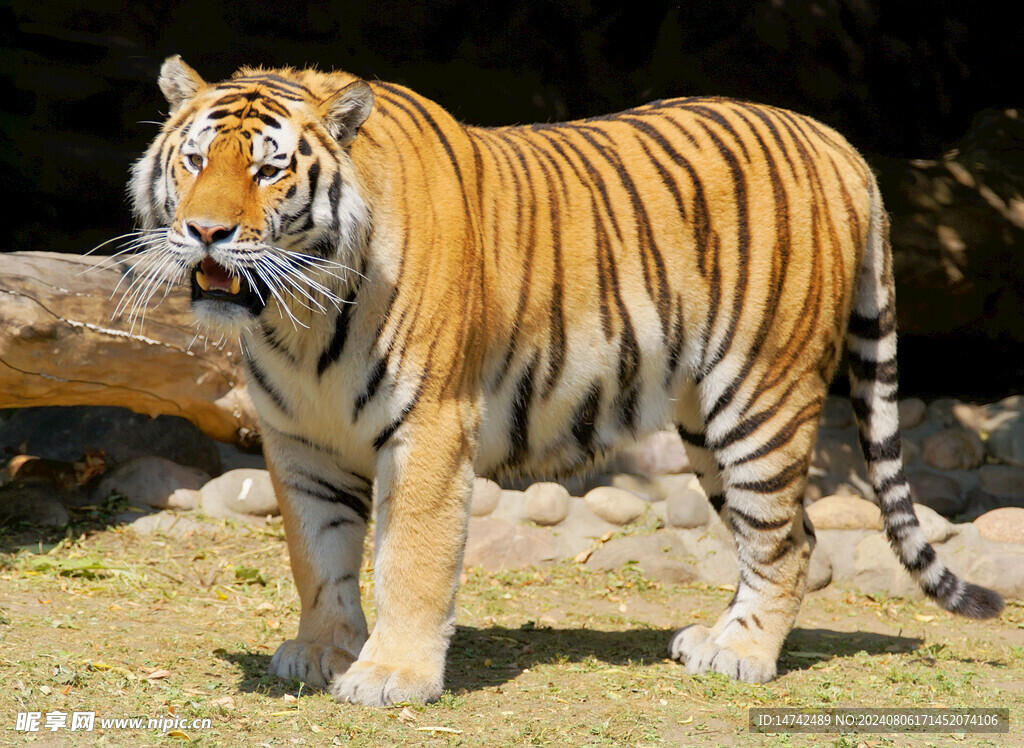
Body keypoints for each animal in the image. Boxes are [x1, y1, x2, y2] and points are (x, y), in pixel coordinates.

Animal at [125, 55, 1002, 706]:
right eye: (196, 160)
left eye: (270, 172)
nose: (206, 231)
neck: (296, 318)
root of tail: (836, 141)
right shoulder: (299, 438)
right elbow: (317, 557)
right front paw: (321, 653)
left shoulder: (430, 427)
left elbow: (409, 558)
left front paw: (390, 675)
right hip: (705, 421)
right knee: (794, 533)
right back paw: (712, 639)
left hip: (760, 396)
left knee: (783, 539)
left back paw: (743, 656)